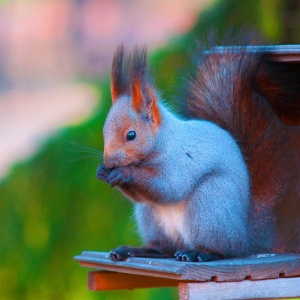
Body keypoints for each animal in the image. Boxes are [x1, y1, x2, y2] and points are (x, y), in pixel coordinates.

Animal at [96, 34, 300, 262]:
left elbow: (169, 186)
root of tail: (243, 235)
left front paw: (125, 172)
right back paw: (139, 250)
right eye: (104, 132)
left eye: (131, 135)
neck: (163, 141)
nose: (109, 162)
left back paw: (199, 253)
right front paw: (103, 172)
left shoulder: (181, 161)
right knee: (165, 248)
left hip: (210, 202)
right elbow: (142, 195)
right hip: (151, 216)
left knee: (223, 249)